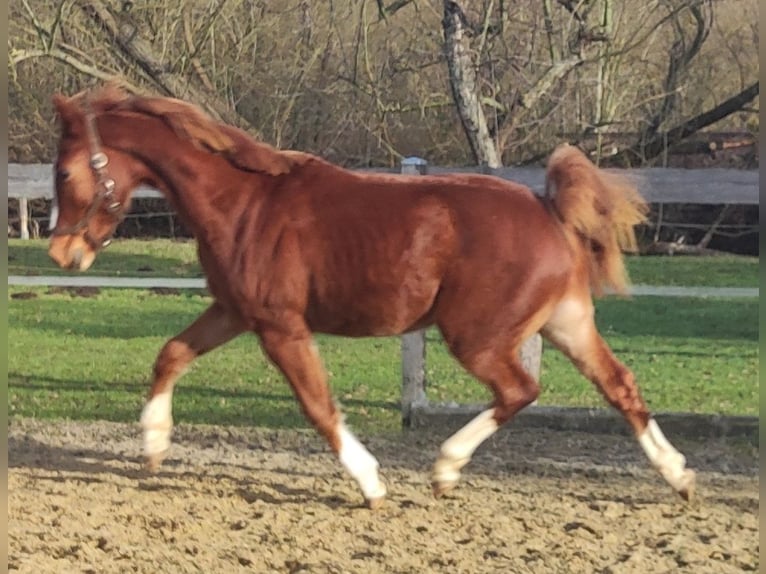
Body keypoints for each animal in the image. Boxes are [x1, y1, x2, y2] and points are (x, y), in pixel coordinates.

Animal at [48, 85, 696, 508]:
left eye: (64, 172)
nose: (62, 254)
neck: (243, 205)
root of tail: (548, 210)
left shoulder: (280, 326)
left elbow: (318, 405)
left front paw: (371, 483)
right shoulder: (235, 312)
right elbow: (172, 354)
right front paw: (154, 444)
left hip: (478, 338)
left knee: (520, 390)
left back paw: (445, 468)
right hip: (565, 323)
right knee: (620, 386)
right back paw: (679, 475)